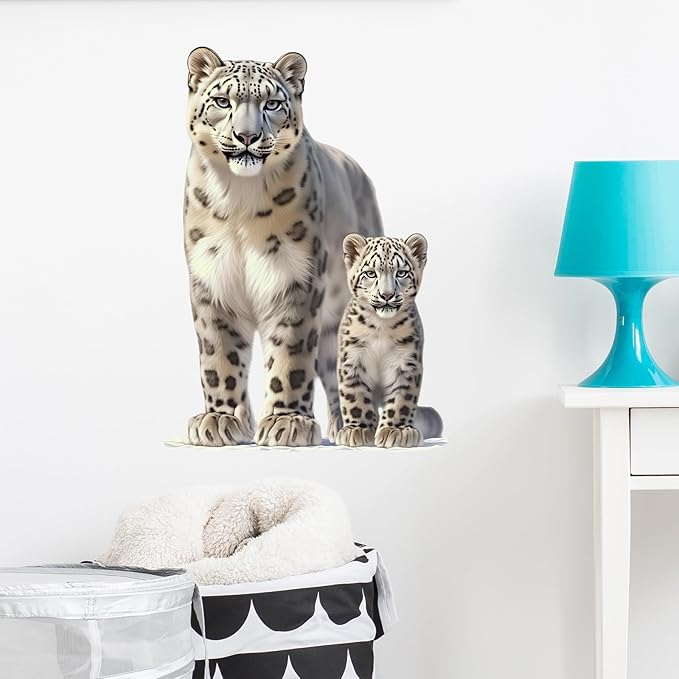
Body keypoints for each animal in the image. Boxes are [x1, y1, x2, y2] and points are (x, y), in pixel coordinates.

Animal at [183, 47, 382, 447]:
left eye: (272, 103)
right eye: (222, 101)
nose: (247, 135)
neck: (239, 200)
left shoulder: (296, 279)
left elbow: (291, 356)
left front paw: (286, 422)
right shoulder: (212, 279)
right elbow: (220, 356)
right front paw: (219, 418)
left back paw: (347, 429)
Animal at [336, 234, 443, 448]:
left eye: (401, 273)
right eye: (370, 273)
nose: (387, 295)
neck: (381, 327)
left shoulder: (406, 362)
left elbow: (401, 399)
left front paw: (396, 431)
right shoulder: (352, 358)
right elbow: (354, 395)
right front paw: (358, 429)